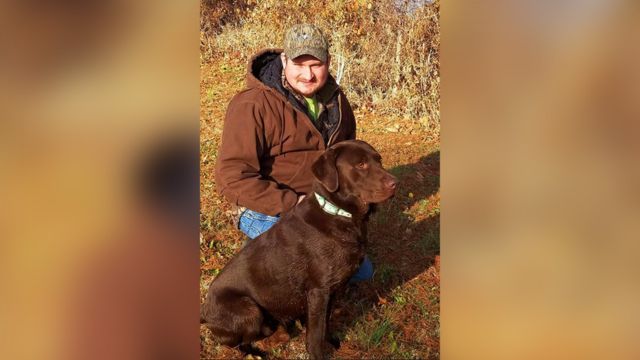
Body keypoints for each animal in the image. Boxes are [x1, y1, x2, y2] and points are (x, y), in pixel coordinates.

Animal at [202, 139, 398, 358]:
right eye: (361, 165)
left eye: (379, 160)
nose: (395, 183)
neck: (339, 214)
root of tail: (204, 313)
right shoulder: (318, 291)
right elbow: (315, 334)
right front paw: (317, 354)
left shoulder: (333, 289)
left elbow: (326, 323)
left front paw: (332, 341)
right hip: (249, 310)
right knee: (237, 343)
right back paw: (257, 352)